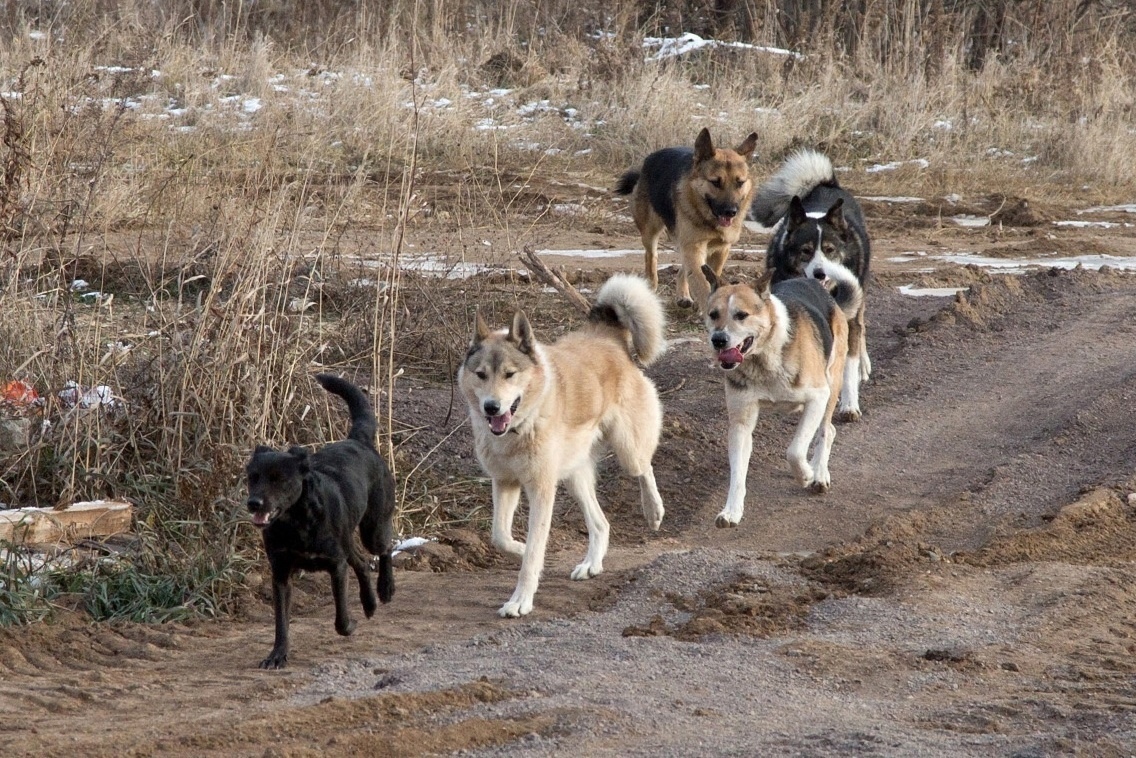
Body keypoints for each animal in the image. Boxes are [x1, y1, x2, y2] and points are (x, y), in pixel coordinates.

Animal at [244, 375, 395, 668]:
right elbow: (281, 623)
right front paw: (277, 655)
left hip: (373, 528)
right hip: (348, 538)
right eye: (252, 477)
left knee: (385, 549)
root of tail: (359, 442)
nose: (253, 503)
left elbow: (341, 619)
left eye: (278, 479)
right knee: (361, 562)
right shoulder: (280, 573)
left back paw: (385, 590)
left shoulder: (335, 565)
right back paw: (369, 602)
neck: (296, 523)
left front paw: (351, 625)